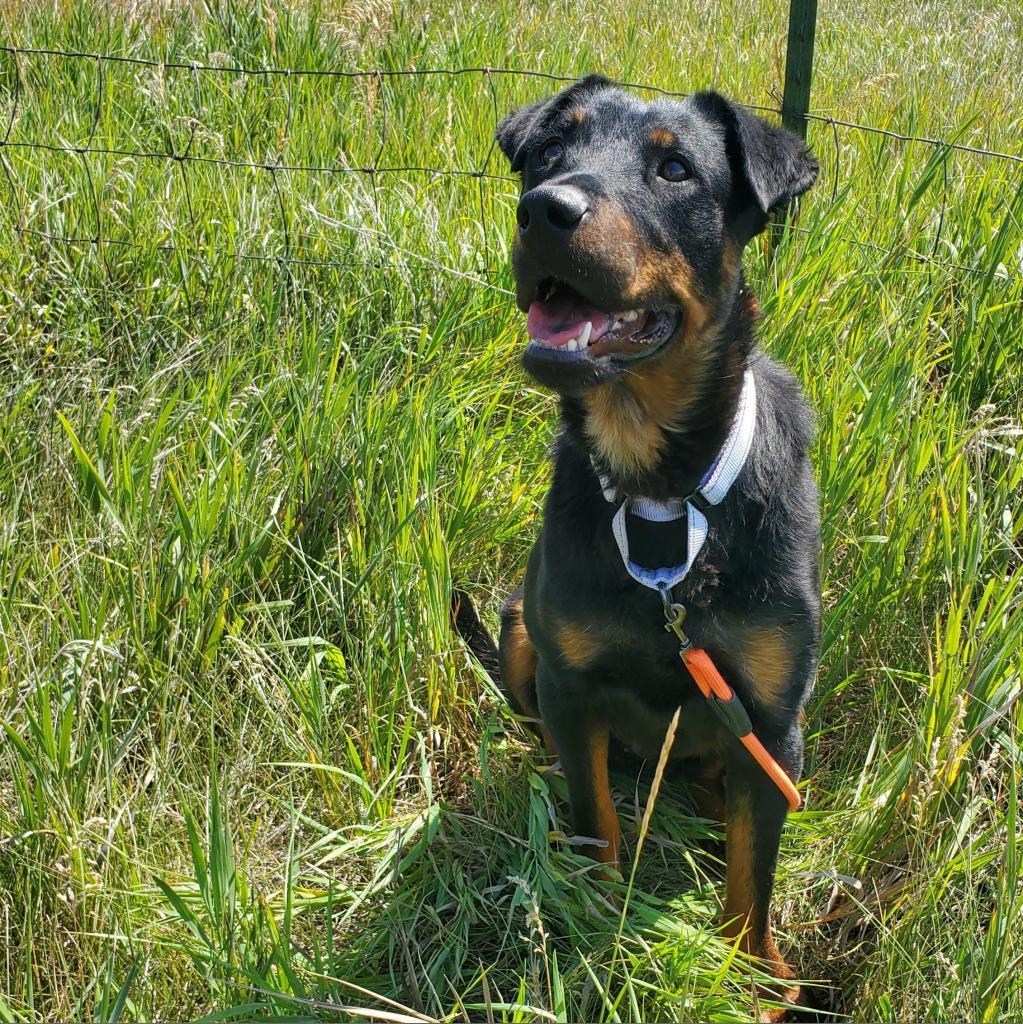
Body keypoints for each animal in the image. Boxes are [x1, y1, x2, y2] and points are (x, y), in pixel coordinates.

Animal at [452, 74, 819, 1015]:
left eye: (675, 169)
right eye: (548, 151)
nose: (544, 209)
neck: (661, 492)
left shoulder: (771, 715)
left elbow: (752, 875)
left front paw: (749, 973)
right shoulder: (573, 683)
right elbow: (598, 822)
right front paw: (591, 919)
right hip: (519, 627)